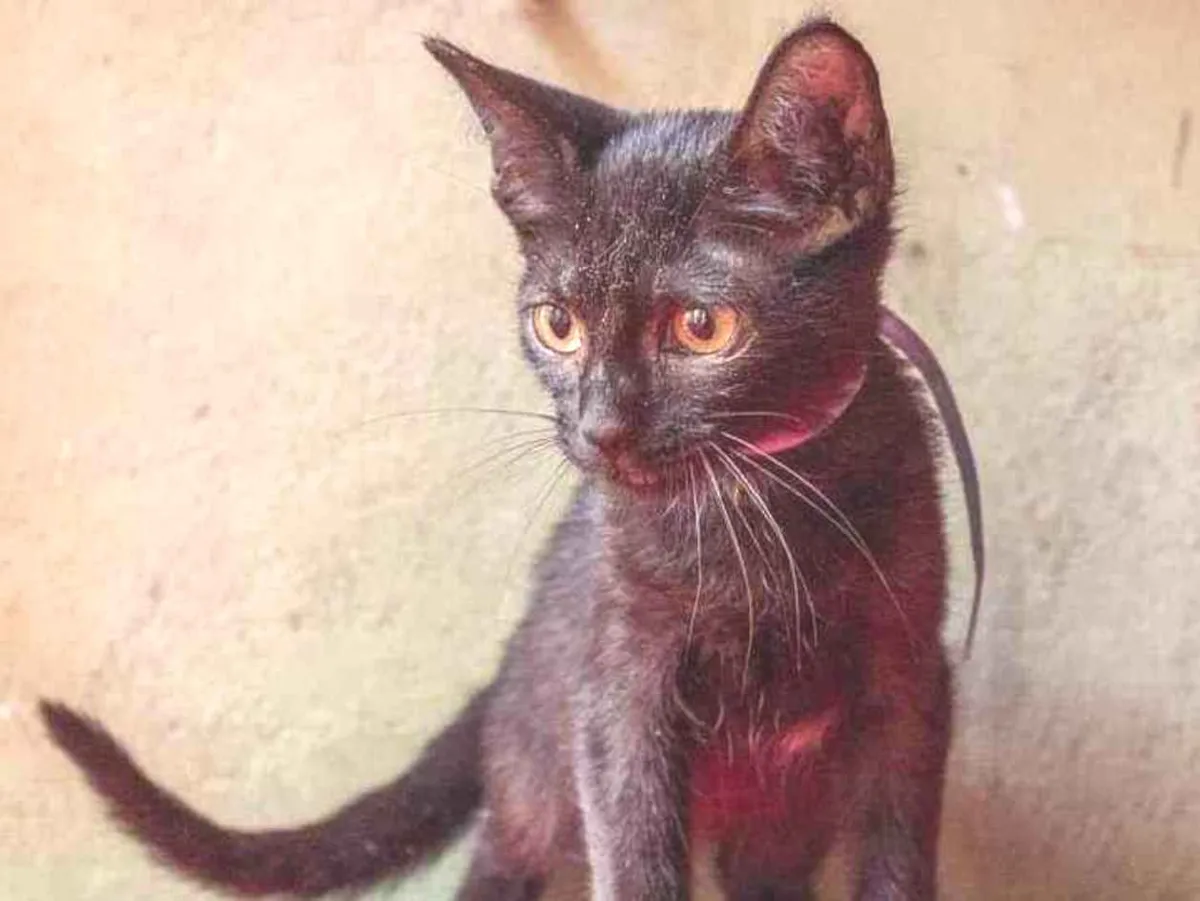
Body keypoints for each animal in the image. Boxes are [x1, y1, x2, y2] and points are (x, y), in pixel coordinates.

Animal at [40, 17, 984, 901]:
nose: (601, 426)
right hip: (542, 775)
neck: (750, 506)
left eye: (701, 327)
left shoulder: (911, 682)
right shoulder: (619, 695)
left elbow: (897, 857)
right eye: (558, 324)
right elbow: (636, 860)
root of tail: (509, 659)